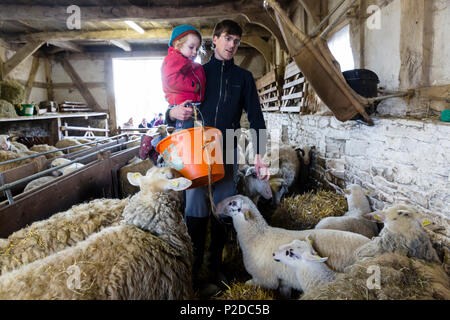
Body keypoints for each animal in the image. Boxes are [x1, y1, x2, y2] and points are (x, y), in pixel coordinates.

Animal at [216, 195, 370, 298]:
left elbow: (254, 283)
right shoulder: (284, 281)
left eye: (232, 203)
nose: (216, 206)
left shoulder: (265, 279)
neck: (256, 237)